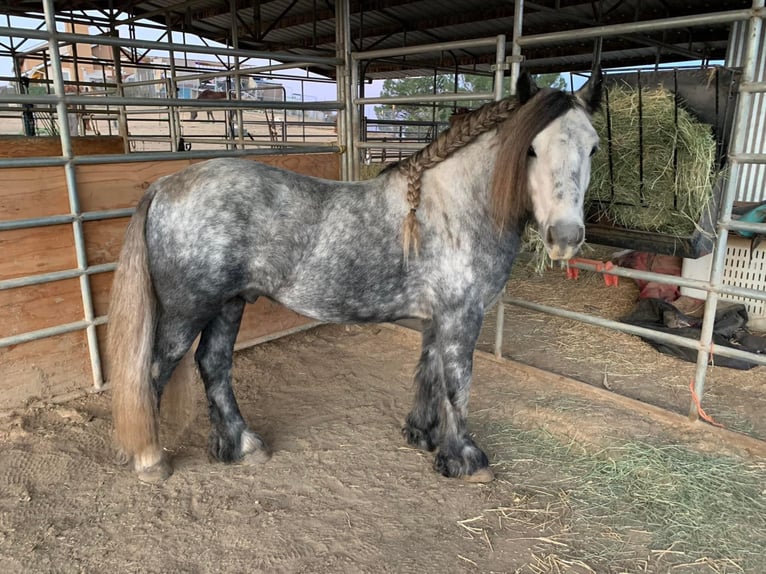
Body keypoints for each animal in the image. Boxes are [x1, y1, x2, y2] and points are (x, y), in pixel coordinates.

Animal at [108, 73, 604, 486]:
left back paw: (243, 446)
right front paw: (465, 459)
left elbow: (428, 372)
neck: (451, 208)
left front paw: (423, 435)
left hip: (228, 304)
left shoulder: (437, 317)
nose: (565, 237)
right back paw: (152, 461)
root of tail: (166, 184)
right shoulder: (461, 315)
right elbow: (457, 383)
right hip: (187, 310)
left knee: (213, 364)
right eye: (531, 148)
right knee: (153, 371)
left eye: (593, 147)